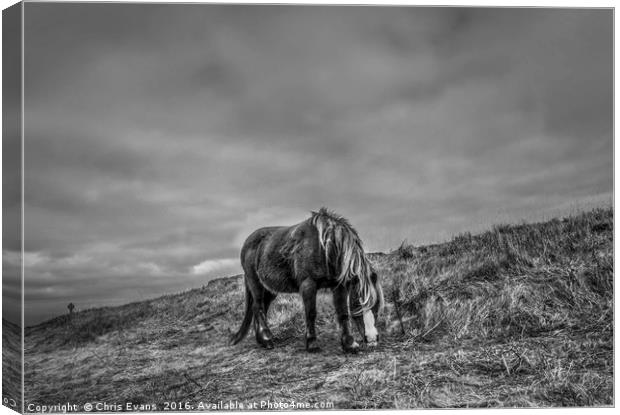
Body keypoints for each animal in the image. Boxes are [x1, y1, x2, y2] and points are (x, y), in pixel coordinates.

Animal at [229, 208, 380, 354]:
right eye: (358, 305)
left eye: (376, 306)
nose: (372, 339)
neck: (324, 248)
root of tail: (248, 241)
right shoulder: (308, 285)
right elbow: (311, 313)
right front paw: (312, 344)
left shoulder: (339, 286)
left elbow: (343, 313)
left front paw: (349, 345)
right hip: (256, 284)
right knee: (258, 307)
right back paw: (266, 340)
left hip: (270, 290)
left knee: (262, 308)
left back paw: (263, 340)